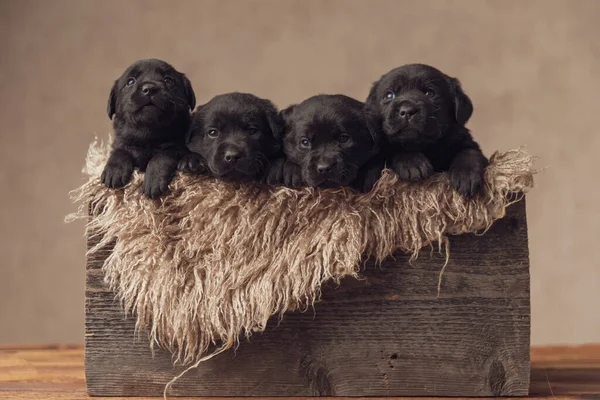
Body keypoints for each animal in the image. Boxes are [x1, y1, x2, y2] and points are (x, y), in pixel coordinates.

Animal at [102, 57, 195, 197]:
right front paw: (113, 170)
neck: (147, 134)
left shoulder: (178, 147)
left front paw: (154, 179)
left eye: (168, 80)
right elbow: (120, 151)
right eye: (130, 81)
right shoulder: (121, 141)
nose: (149, 88)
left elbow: (162, 155)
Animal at [360, 62, 488, 197]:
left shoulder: (467, 142)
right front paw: (413, 163)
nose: (407, 110)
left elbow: (469, 152)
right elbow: (394, 150)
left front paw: (466, 176)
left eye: (430, 93)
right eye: (389, 95)